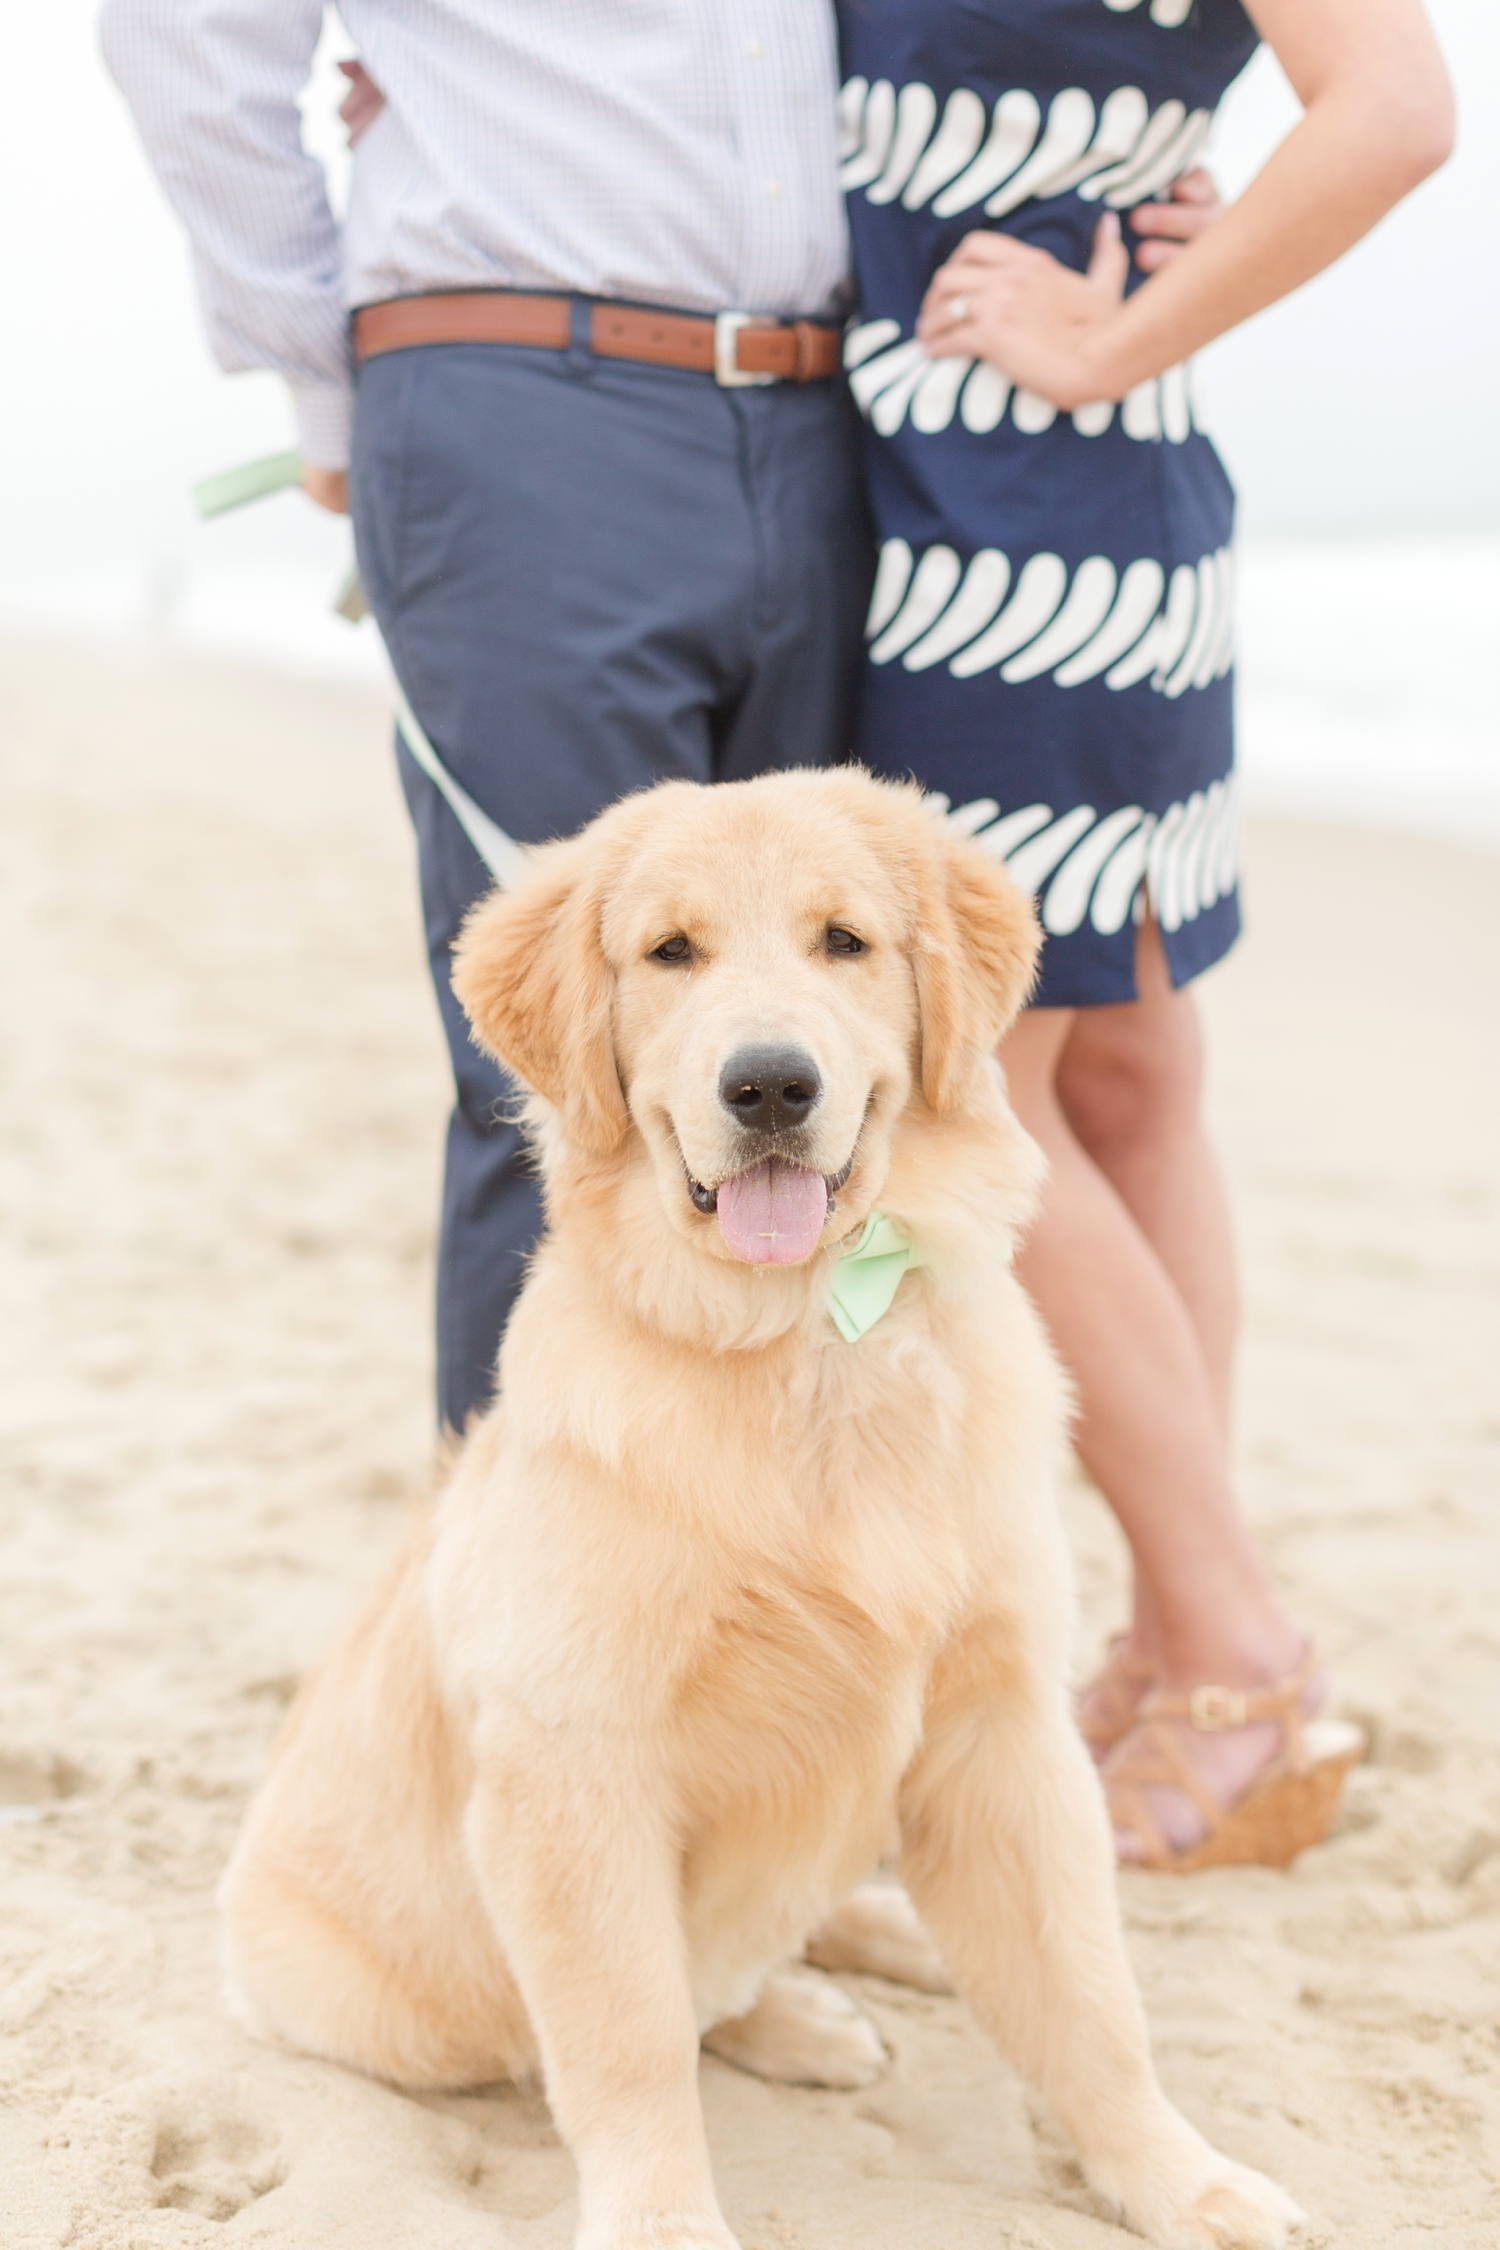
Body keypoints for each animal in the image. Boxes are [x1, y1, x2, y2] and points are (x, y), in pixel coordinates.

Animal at [220, 769, 1304, 2250]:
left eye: (844, 941)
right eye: (669, 952)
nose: (773, 1083)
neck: (813, 1339)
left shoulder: (1006, 1727)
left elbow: (1091, 2005)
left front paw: (1181, 2178)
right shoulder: (573, 1770)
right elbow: (628, 2042)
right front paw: (664, 2225)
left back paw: (887, 1937)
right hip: (374, 1990)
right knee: (675, 1994)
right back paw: (806, 2006)